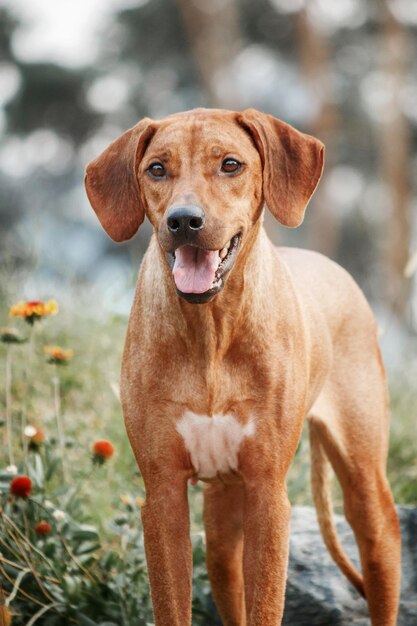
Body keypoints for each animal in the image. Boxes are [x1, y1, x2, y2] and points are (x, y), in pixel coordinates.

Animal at [83, 108, 400, 624]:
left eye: (230, 164)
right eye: (157, 169)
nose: (184, 220)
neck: (211, 331)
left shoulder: (268, 494)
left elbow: (268, 603)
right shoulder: (163, 494)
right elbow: (172, 603)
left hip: (365, 485)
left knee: (378, 543)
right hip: (222, 526)